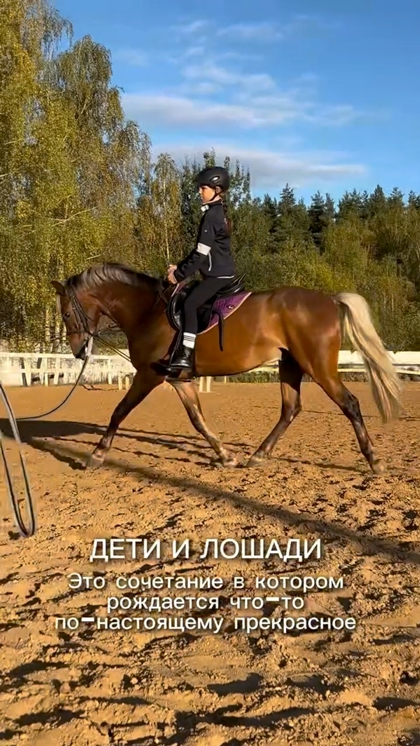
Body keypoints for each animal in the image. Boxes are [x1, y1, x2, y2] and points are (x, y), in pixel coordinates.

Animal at [51, 262, 402, 474]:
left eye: (66, 314)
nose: (78, 351)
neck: (147, 312)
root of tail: (329, 300)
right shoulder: (178, 379)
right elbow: (198, 419)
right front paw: (224, 455)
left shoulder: (148, 375)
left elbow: (119, 411)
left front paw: (97, 454)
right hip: (290, 365)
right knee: (290, 409)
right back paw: (258, 454)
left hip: (318, 367)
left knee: (349, 404)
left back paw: (374, 460)